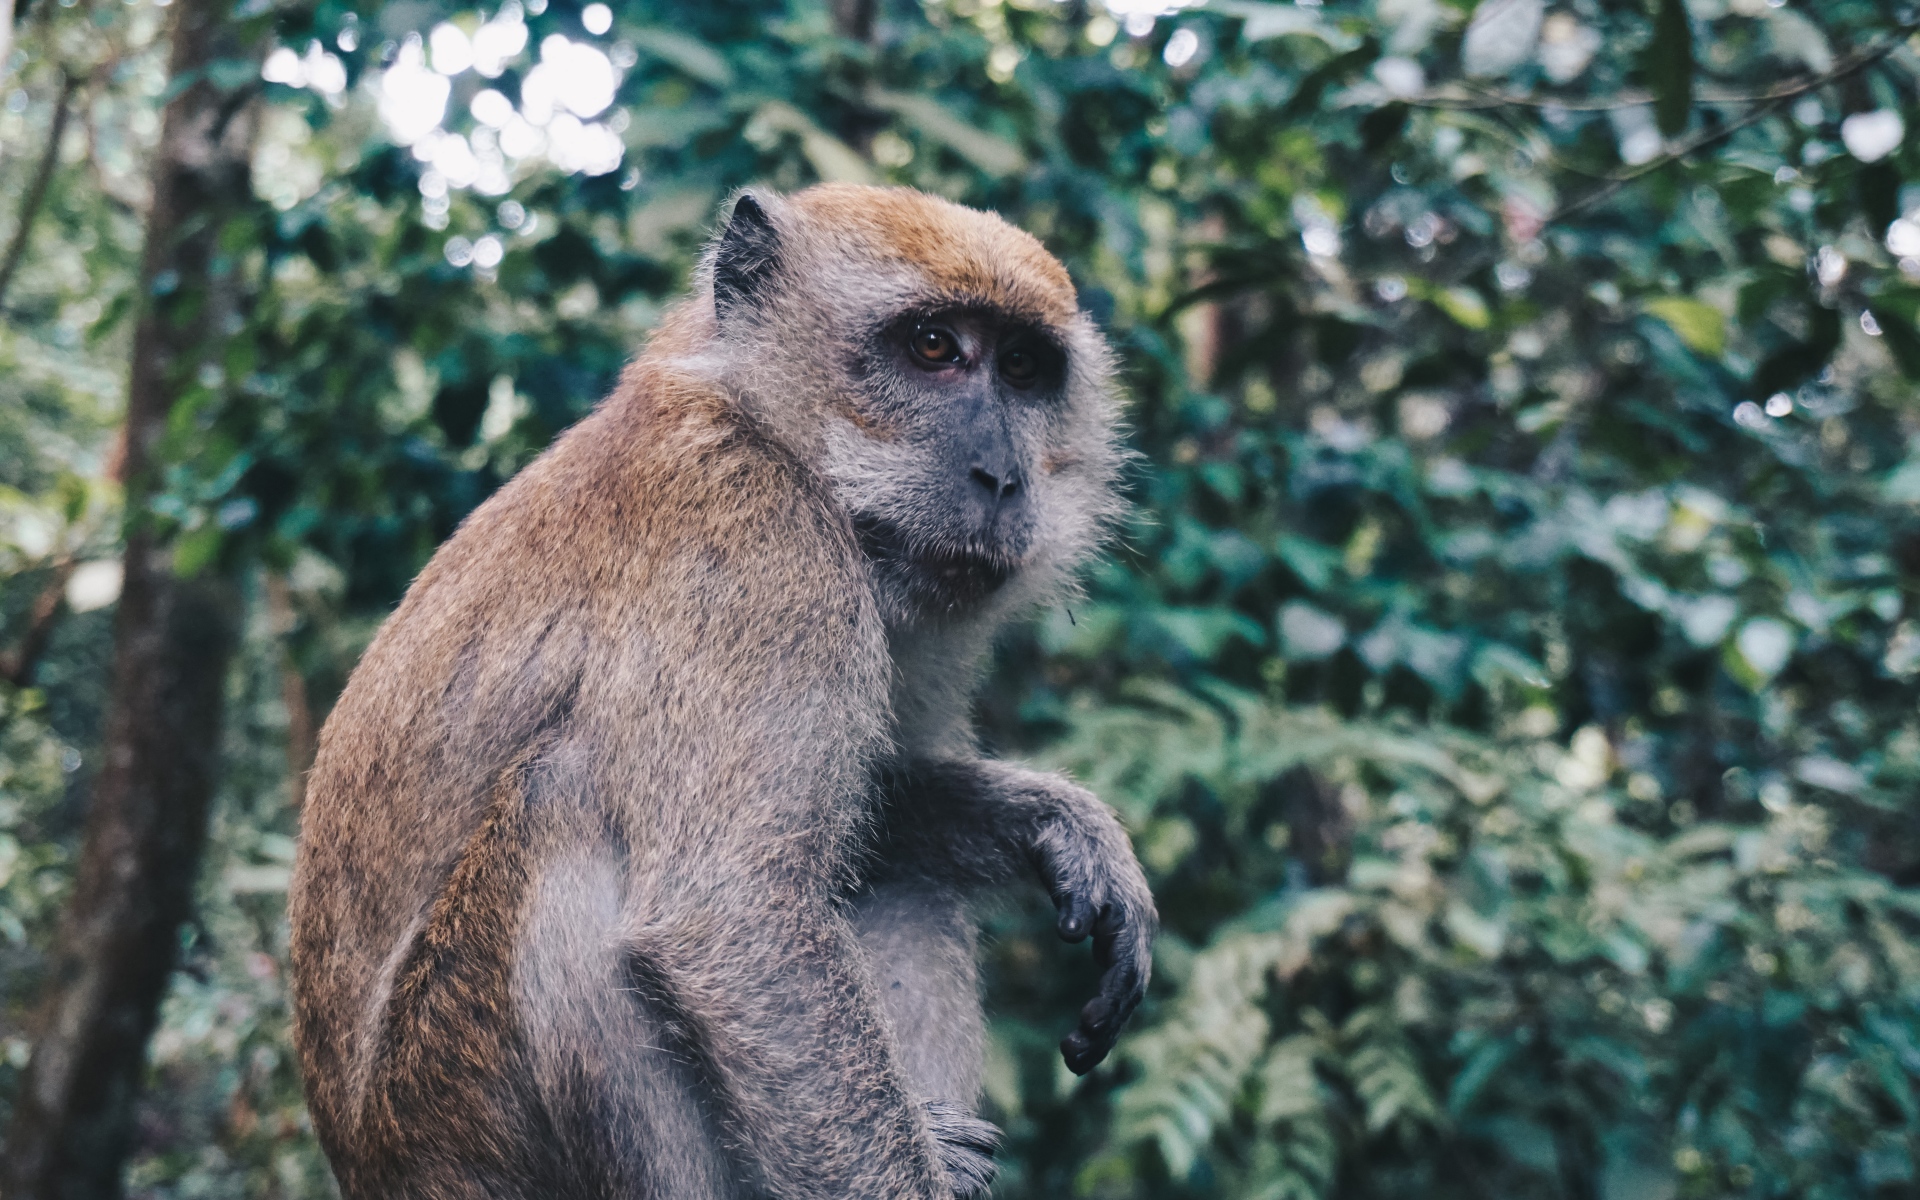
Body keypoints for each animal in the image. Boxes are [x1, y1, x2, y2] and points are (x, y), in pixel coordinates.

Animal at [287, 184, 1156, 1200]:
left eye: (1023, 368)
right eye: (935, 348)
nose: (1000, 477)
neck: (762, 423)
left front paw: (1059, 825)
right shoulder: (756, 550)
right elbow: (735, 918)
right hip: (457, 1118)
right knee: (563, 803)